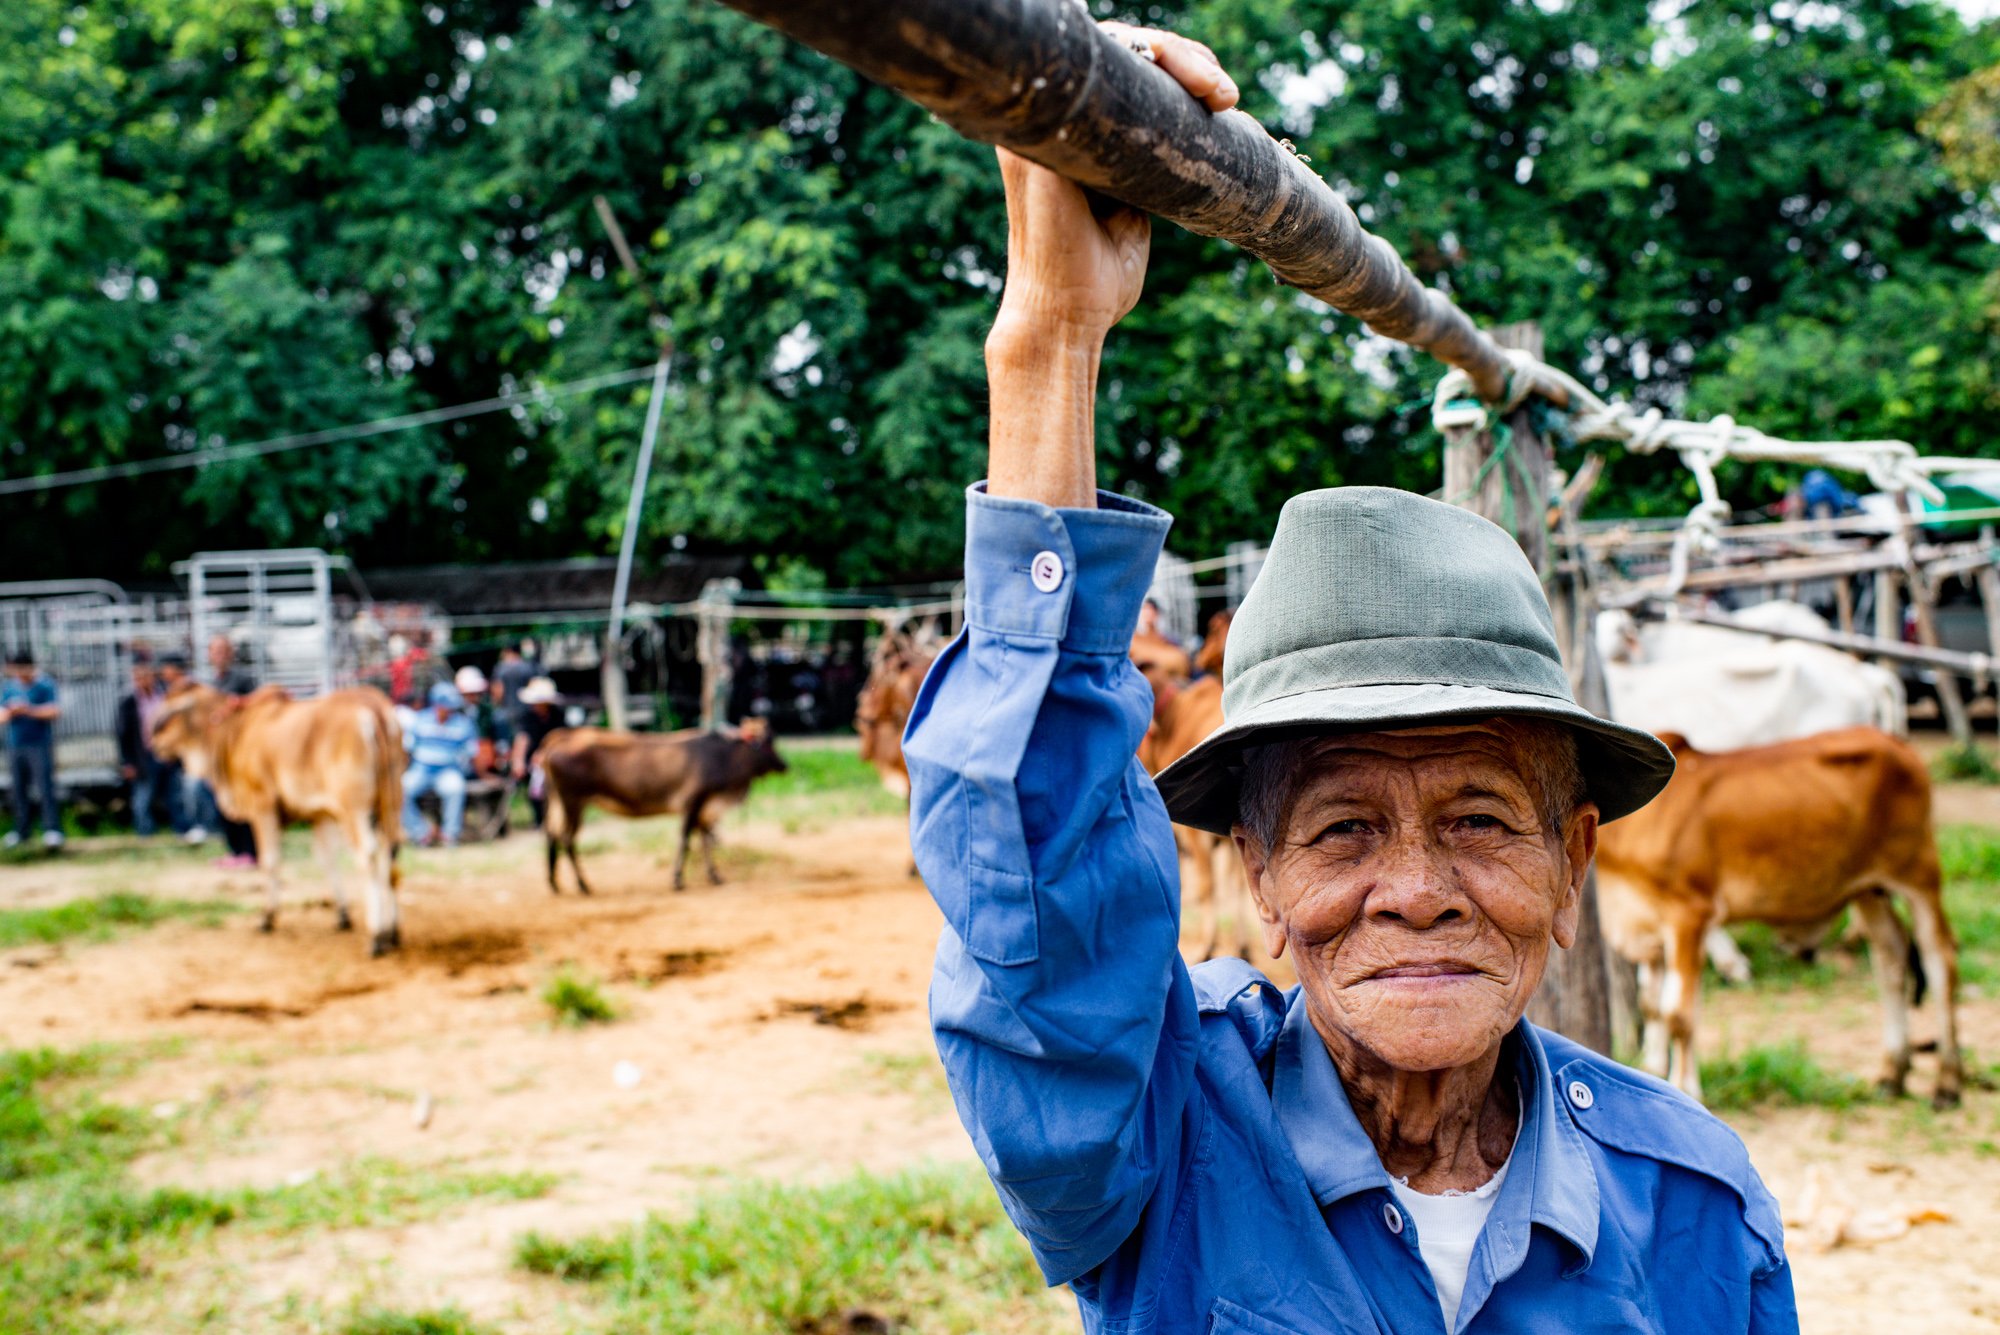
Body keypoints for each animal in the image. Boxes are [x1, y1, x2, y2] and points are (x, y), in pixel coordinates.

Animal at [149, 687, 406, 959]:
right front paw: (343, 916)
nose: (154, 743)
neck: (236, 730)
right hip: (389, 806)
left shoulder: (263, 805)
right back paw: (392, 932)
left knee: (369, 857)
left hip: (354, 809)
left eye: (172, 716)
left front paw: (267, 918)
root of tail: (372, 705)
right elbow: (327, 860)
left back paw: (376, 936)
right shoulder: (321, 814)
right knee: (390, 857)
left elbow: (269, 861)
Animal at [540, 719, 788, 895]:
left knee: (551, 833)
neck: (724, 757)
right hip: (573, 801)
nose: (784, 765)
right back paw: (583, 884)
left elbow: (706, 842)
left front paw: (714, 876)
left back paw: (554, 883)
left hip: (558, 801)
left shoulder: (705, 809)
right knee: (566, 838)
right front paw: (677, 880)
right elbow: (686, 842)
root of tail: (556, 741)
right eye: (768, 742)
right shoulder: (692, 803)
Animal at [1600, 731, 1960, 1103]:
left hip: (1918, 875)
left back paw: (1947, 1082)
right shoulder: (1646, 922)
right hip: (1869, 890)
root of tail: (1894, 740)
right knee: (1891, 958)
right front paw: (1651, 1070)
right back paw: (1892, 1073)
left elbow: (1678, 1016)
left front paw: (1684, 1087)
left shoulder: (1688, 915)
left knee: (1940, 961)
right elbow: (1650, 1004)